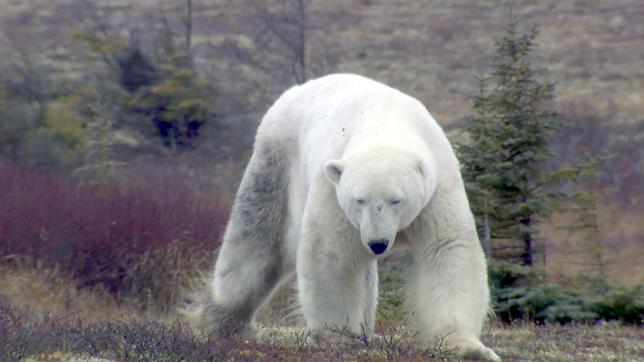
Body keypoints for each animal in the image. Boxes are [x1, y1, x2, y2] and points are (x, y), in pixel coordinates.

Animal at [209, 74, 500, 362]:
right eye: (359, 200)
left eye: (396, 200)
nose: (378, 244)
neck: (384, 120)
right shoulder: (333, 189)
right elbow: (331, 254)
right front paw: (339, 338)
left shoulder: (437, 189)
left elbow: (446, 250)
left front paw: (468, 348)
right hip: (278, 164)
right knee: (259, 242)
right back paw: (224, 322)